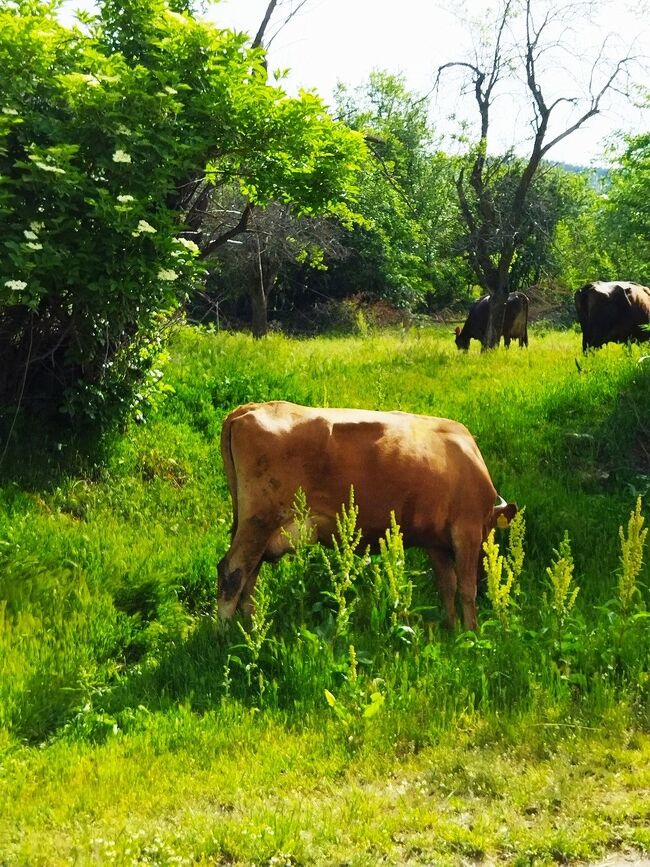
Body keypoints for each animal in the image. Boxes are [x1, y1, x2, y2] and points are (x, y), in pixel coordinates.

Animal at [218, 400, 516, 632]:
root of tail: (247, 409)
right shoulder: (467, 531)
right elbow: (466, 588)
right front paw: (472, 632)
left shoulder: (437, 542)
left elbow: (447, 585)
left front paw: (452, 629)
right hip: (259, 523)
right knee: (232, 572)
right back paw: (224, 635)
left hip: (255, 529)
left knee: (249, 578)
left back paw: (251, 629)